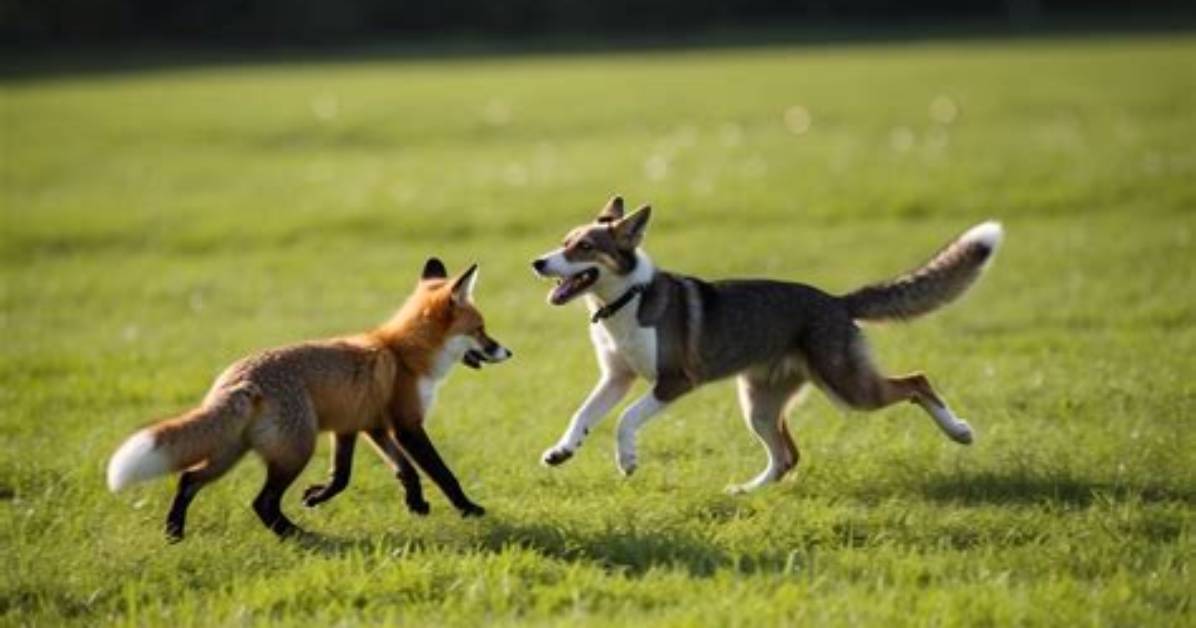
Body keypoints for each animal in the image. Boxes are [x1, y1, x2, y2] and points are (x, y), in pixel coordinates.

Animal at [107, 258, 511, 540]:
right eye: (481, 330)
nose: (508, 352)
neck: (403, 356)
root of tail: (240, 378)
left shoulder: (363, 426)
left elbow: (367, 473)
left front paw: (411, 503)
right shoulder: (406, 425)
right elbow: (442, 473)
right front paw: (469, 509)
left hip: (230, 452)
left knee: (188, 479)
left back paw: (174, 532)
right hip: (295, 450)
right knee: (261, 502)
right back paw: (296, 535)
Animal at [531, 196, 1002, 494]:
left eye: (584, 247)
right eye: (563, 242)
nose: (537, 262)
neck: (628, 298)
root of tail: (837, 302)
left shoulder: (675, 381)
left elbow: (626, 419)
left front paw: (627, 460)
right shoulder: (617, 377)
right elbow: (583, 415)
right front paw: (561, 451)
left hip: (849, 388)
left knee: (917, 381)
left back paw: (960, 432)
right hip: (758, 404)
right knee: (786, 457)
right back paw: (744, 492)